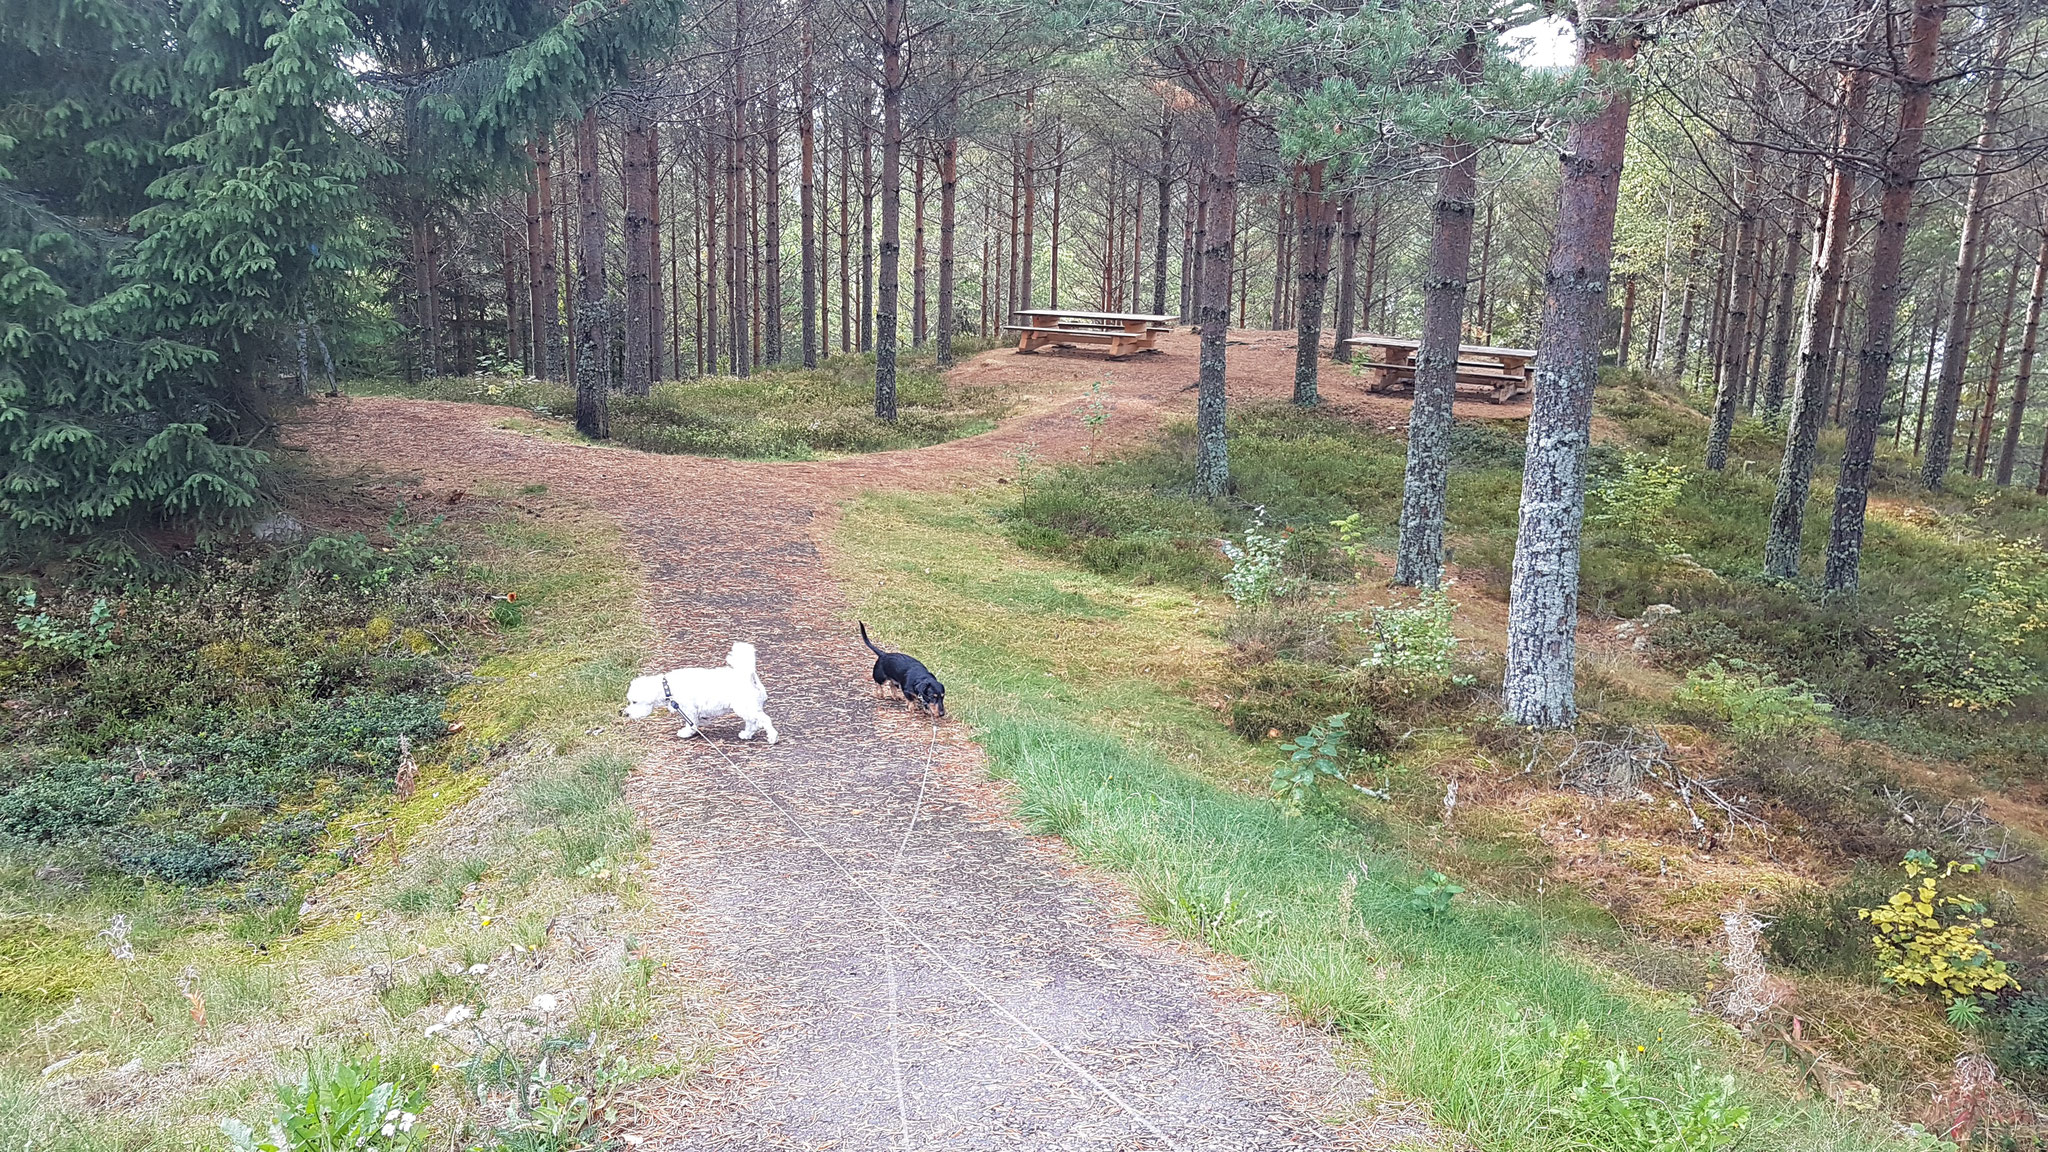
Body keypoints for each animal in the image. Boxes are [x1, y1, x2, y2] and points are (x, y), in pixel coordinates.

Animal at [618, 635, 778, 746]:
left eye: (634, 702)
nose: (625, 713)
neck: (667, 687)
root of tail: (747, 674)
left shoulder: (688, 709)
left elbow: (691, 722)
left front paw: (686, 732)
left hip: (745, 706)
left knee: (764, 720)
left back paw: (772, 737)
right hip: (746, 707)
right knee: (752, 722)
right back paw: (746, 734)